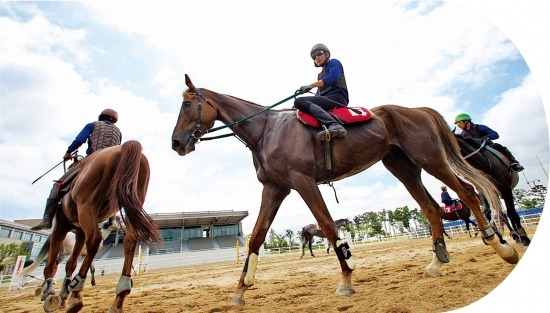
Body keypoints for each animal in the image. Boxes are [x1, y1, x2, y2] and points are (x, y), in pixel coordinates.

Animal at [36, 141, 162, 312]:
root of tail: (123, 147)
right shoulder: (80, 232)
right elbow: (71, 264)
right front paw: (62, 295)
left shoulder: (61, 226)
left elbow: (55, 262)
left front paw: (50, 293)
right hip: (132, 200)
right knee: (129, 241)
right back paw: (119, 297)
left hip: (87, 206)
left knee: (94, 241)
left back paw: (76, 293)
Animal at [170, 74, 520, 304]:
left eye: (187, 104)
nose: (176, 143)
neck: (266, 129)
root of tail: (416, 110)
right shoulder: (275, 188)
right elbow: (256, 237)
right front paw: (241, 289)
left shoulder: (303, 182)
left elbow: (327, 226)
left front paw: (346, 279)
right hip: (403, 168)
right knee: (432, 207)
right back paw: (436, 262)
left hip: (430, 159)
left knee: (468, 193)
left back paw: (502, 246)